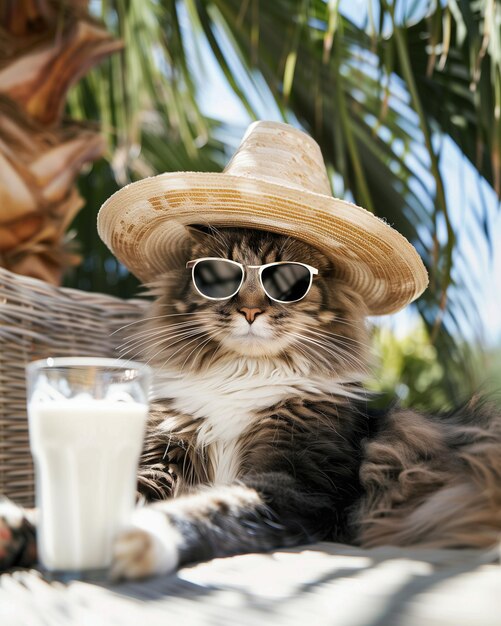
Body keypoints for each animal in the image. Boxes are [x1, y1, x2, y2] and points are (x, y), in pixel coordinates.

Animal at [0, 224, 500, 576]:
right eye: (218, 275)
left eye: (288, 279)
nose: (250, 311)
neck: (242, 376)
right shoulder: (164, 458)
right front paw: (25, 529)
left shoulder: (295, 485)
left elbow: (214, 507)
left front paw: (144, 537)